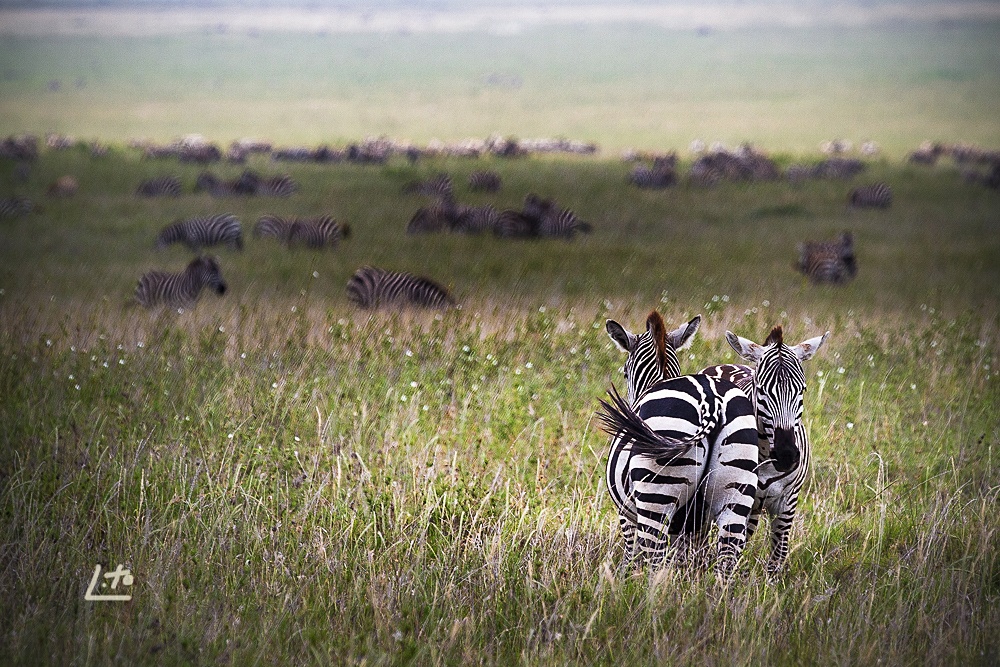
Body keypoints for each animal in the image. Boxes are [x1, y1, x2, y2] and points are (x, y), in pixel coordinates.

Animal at [592, 314, 756, 580]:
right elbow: (685, 559)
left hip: (656, 494)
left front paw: (626, 579)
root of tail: (711, 400)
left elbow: (631, 554)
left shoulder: (626, 514)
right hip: (736, 493)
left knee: (655, 559)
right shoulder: (690, 524)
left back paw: (646, 591)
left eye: (626, 373)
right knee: (727, 560)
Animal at [696, 326, 828, 576]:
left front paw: (770, 585)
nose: (787, 455)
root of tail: (724, 364)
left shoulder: (788, 503)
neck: (767, 456)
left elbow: (778, 556)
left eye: (802, 390)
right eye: (762, 390)